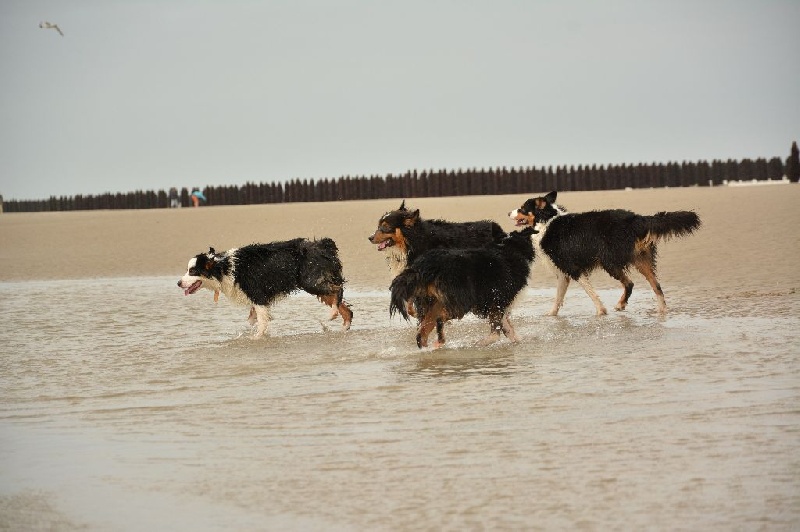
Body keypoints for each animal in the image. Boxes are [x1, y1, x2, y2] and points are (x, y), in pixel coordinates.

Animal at [178, 238, 353, 338]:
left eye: (192, 271)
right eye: (187, 270)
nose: (178, 283)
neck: (224, 267)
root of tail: (324, 244)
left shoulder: (258, 296)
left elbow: (261, 323)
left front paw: (256, 338)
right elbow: (253, 319)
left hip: (311, 281)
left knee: (338, 290)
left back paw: (333, 313)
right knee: (346, 309)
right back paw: (343, 327)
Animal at [389, 227, 536, 348]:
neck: (507, 247)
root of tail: (424, 267)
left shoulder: (498, 304)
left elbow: (507, 328)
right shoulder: (498, 301)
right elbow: (496, 332)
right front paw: (480, 343)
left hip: (431, 303)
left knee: (421, 334)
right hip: (461, 301)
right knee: (439, 319)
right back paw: (440, 342)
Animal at [509, 191, 701, 315]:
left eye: (522, 208)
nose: (508, 212)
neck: (547, 220)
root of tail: (636, 219)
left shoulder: (572, 268)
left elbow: (590, 293)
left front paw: (601, 311)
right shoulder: (563, 272)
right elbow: (558, 297)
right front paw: (551, 315)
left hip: (609, 261)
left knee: (630, 283)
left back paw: (621, 305)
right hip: (640, 260)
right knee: (657, 286)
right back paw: (662, 311)